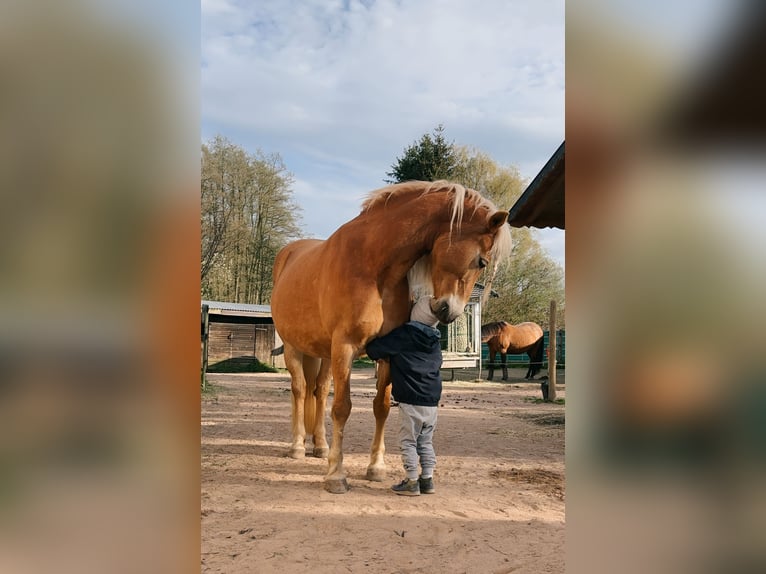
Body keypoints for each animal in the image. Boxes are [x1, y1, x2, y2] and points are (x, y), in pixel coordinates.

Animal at [272, 181, 512, 496]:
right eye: (482, 261)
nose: (450, 312)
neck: (373, 264)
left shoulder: (386, 350)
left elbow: (381, 407)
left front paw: (376, 467)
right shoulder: (344, 348)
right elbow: (342, 408)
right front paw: (336, 476)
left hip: (322, 354)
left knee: (319, 391)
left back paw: (321, 446)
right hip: (294, 348)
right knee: (300, 390)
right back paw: (298, 446)